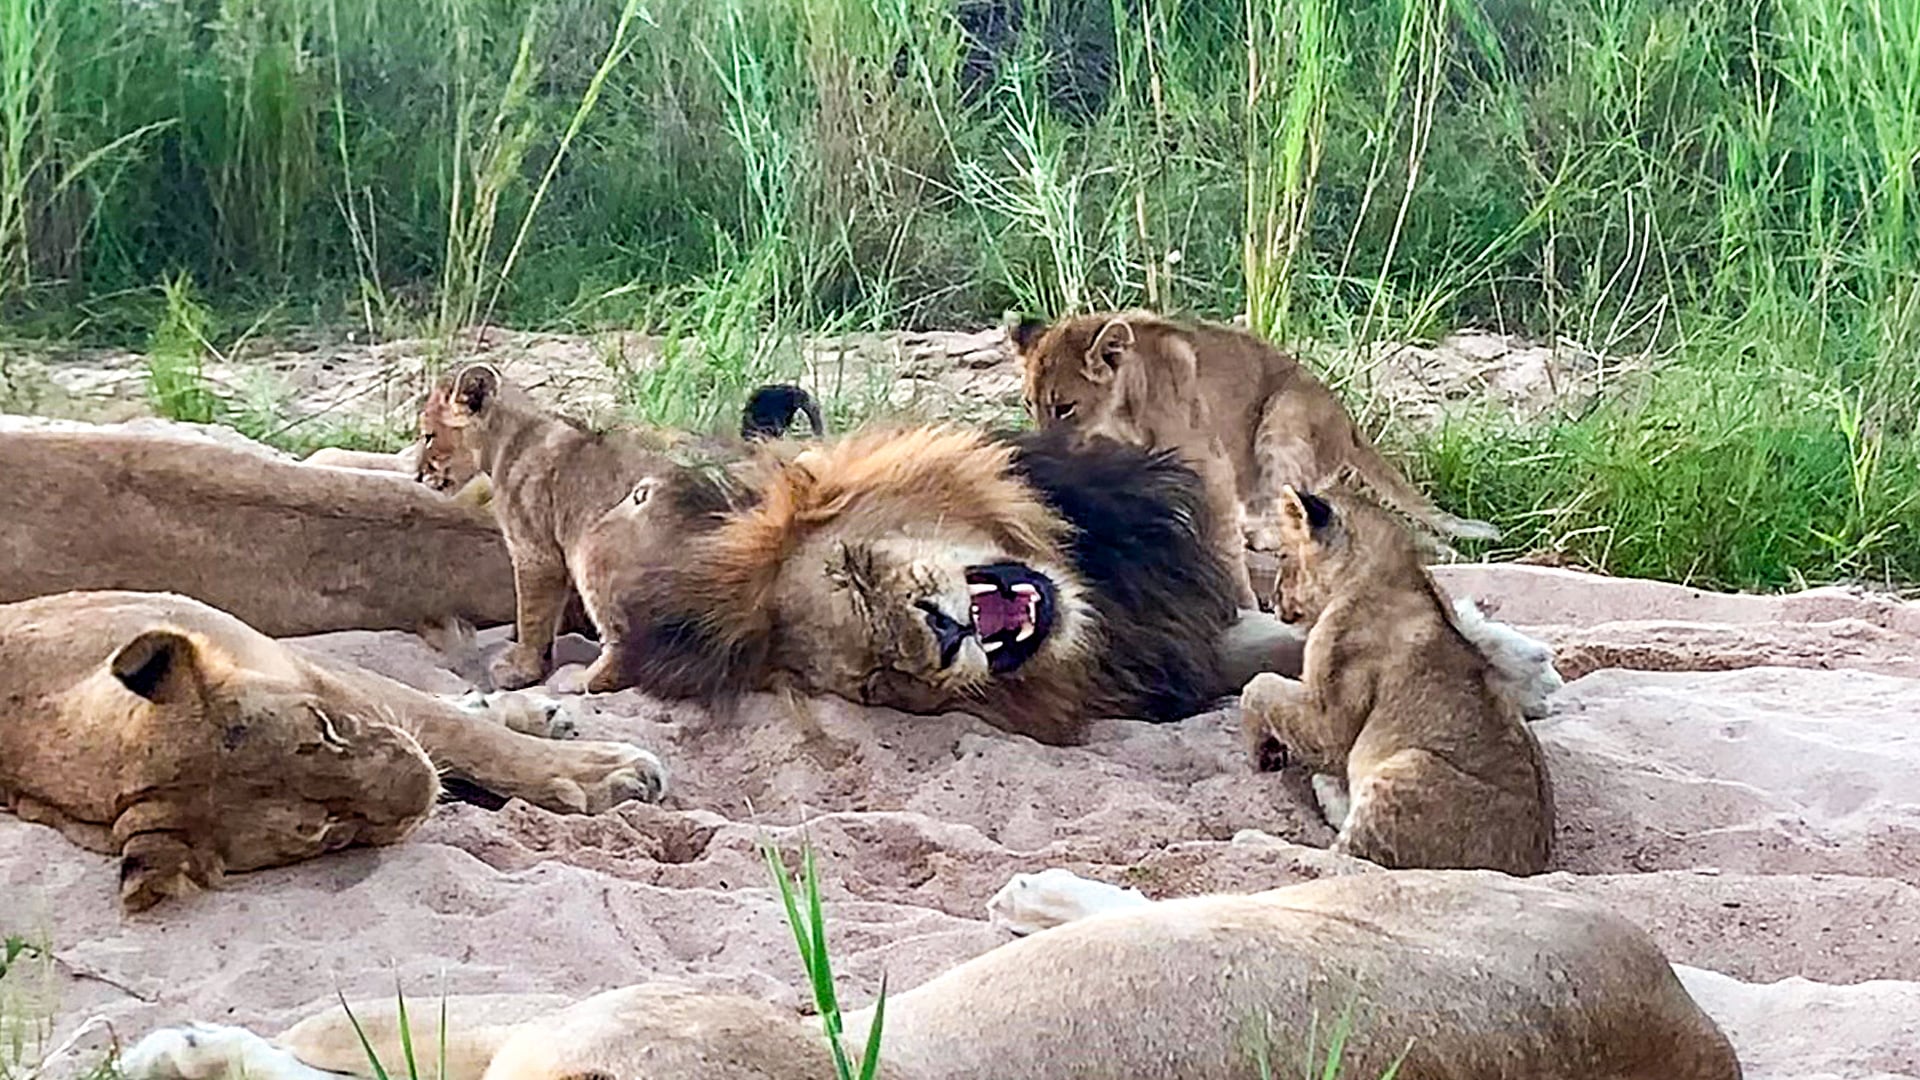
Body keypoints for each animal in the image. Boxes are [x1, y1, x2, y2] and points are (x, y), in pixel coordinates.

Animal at [0, 590, 666, 911]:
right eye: (328, 832)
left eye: (322, 728)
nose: (423, 788)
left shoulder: (311, 671)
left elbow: (466, 735)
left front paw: (604, 772)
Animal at [1012, 310, 1501, 603]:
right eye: (1029, 404)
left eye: (1065, 407)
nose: (1040, 446)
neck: (1119, 416)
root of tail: (1347, 423)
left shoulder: (1212, 469)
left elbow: (1225, 547)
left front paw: (1243, 601)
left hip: (1284, 415)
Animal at [1239, 485, 1553, 875]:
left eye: (1282, 555)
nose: (1272, 600)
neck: (1396, 572)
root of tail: (1529, 868)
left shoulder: (1331, 725)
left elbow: (1259, 684)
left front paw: (1261, 749)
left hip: (1411, 764)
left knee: (1346, 861)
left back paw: (1253, 839)